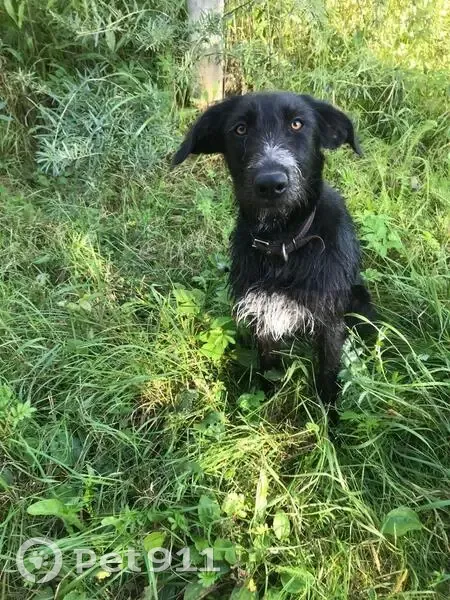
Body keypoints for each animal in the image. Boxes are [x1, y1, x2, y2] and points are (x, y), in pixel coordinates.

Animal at [173, 92, 374, 418]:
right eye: (240, 129)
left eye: (297, 124)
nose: (270, 183)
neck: (283, 242)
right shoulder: (262, 315)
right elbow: (268, 368)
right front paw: (263, 407)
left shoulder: (329, 322)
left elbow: (328, 373)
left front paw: (330, 421)